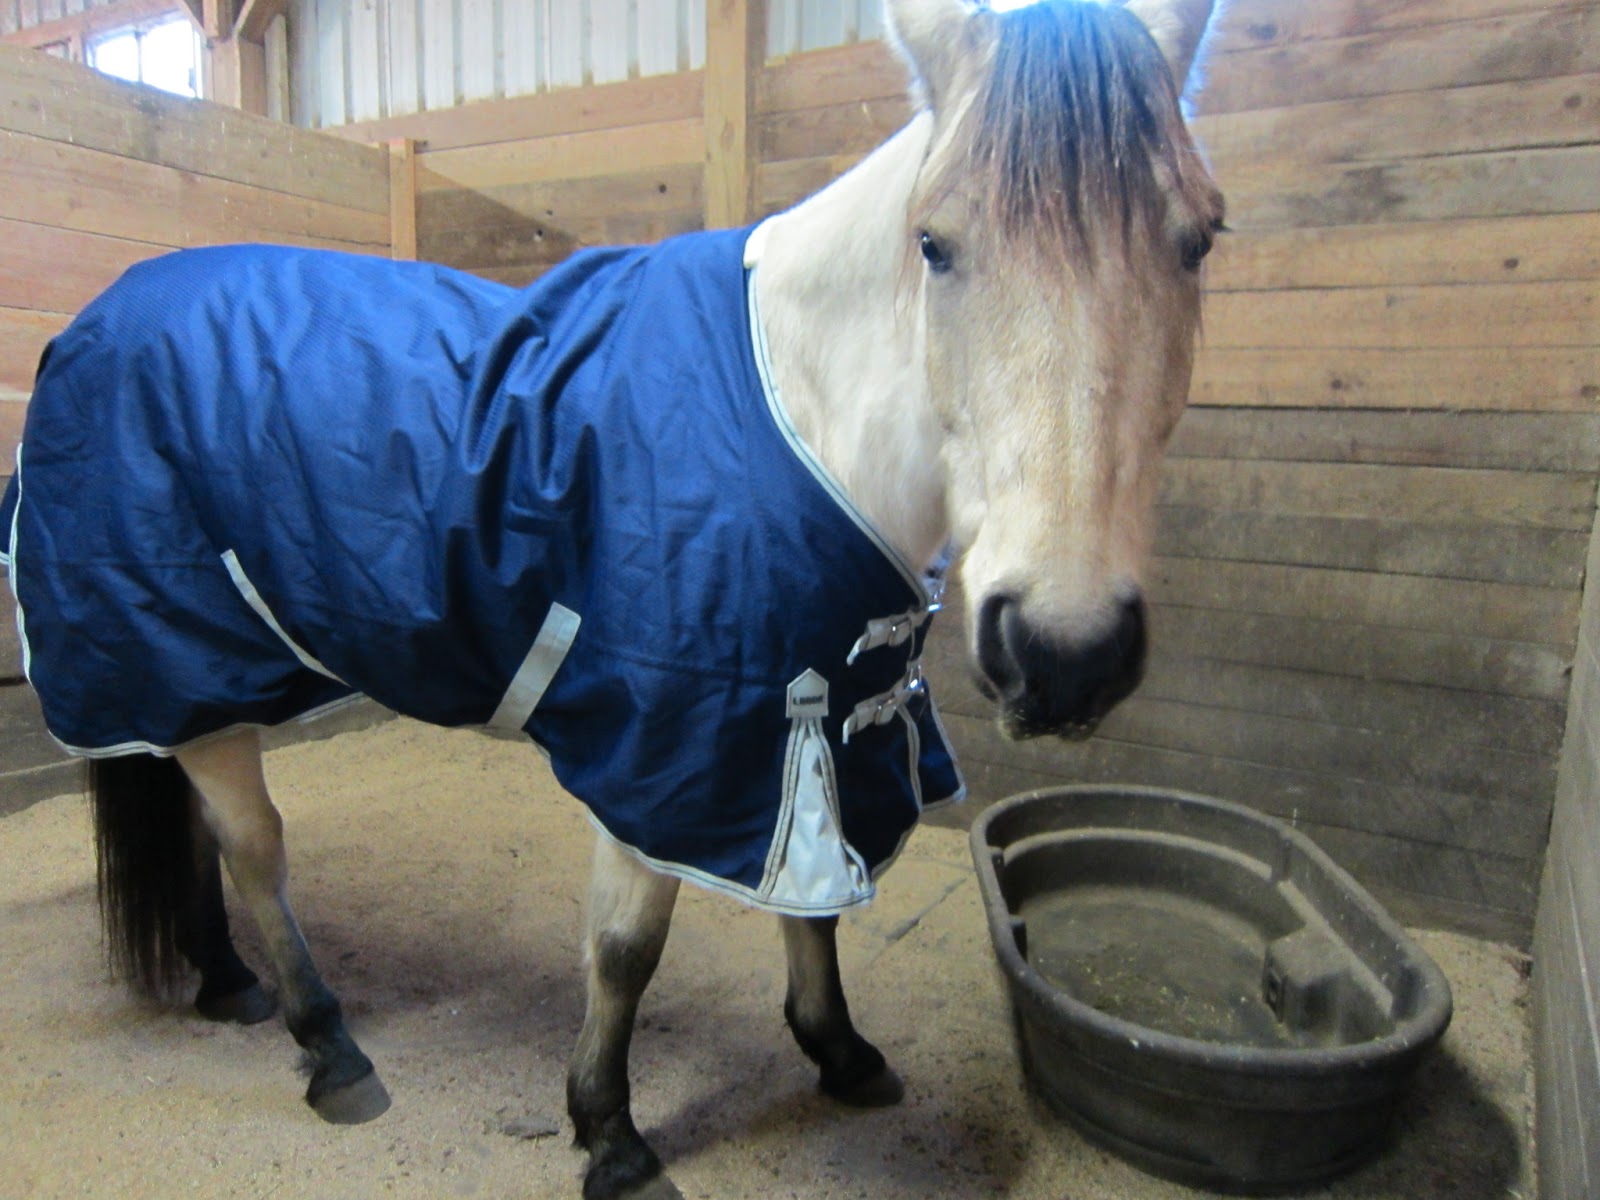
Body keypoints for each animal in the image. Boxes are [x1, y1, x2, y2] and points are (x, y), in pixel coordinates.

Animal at [0, 0, 1224, 1196]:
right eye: (936, 243)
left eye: (1199, 236)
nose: (1066, 651)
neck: (796, 405)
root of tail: (94, 321)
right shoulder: (673, 740)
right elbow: (628, 947)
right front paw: (610, 1132)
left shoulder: (819, 711)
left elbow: (817, 899)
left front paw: (837, 1051)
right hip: (171, 655)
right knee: (253, 848)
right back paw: (327, 1044)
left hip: (190, 681)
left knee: (197, 827)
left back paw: (224, 981)